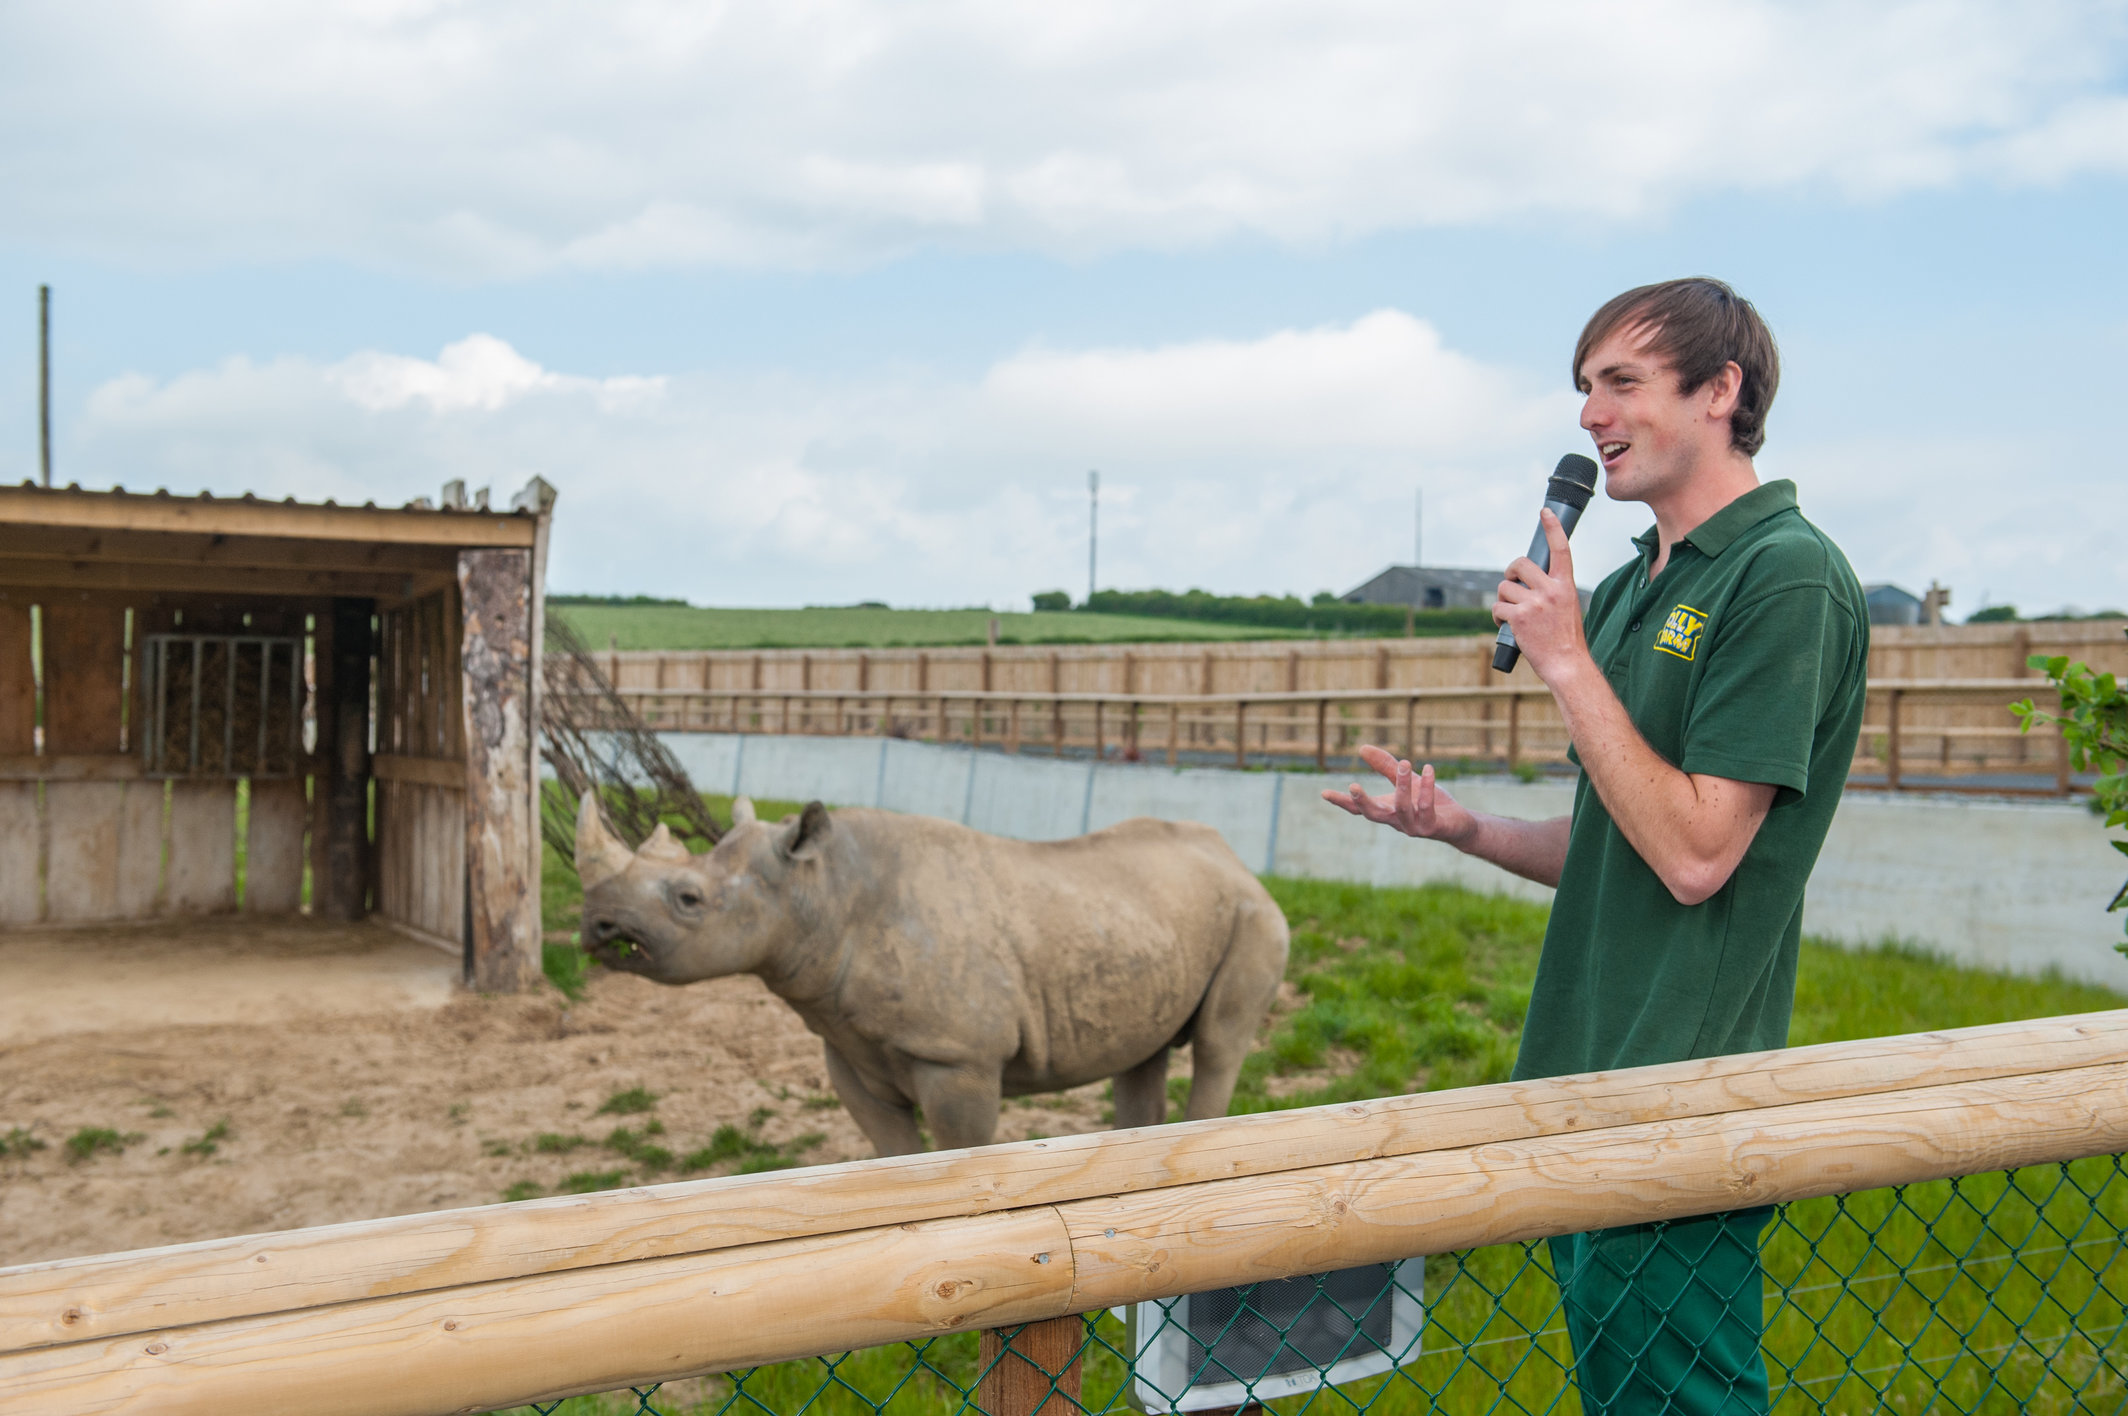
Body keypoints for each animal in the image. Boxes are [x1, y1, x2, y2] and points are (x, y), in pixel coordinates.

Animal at [574, 787, 1285, 1158]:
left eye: (688, 899)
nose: (599, 926)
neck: (819, 892)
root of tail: (1234, 858)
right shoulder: (847, 1048)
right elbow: (895, 1157)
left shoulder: (957, 1057)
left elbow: (957, 1156)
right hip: (1151, 918)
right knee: (1142, 1053)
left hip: (1255, 916)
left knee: (1219, 1043)